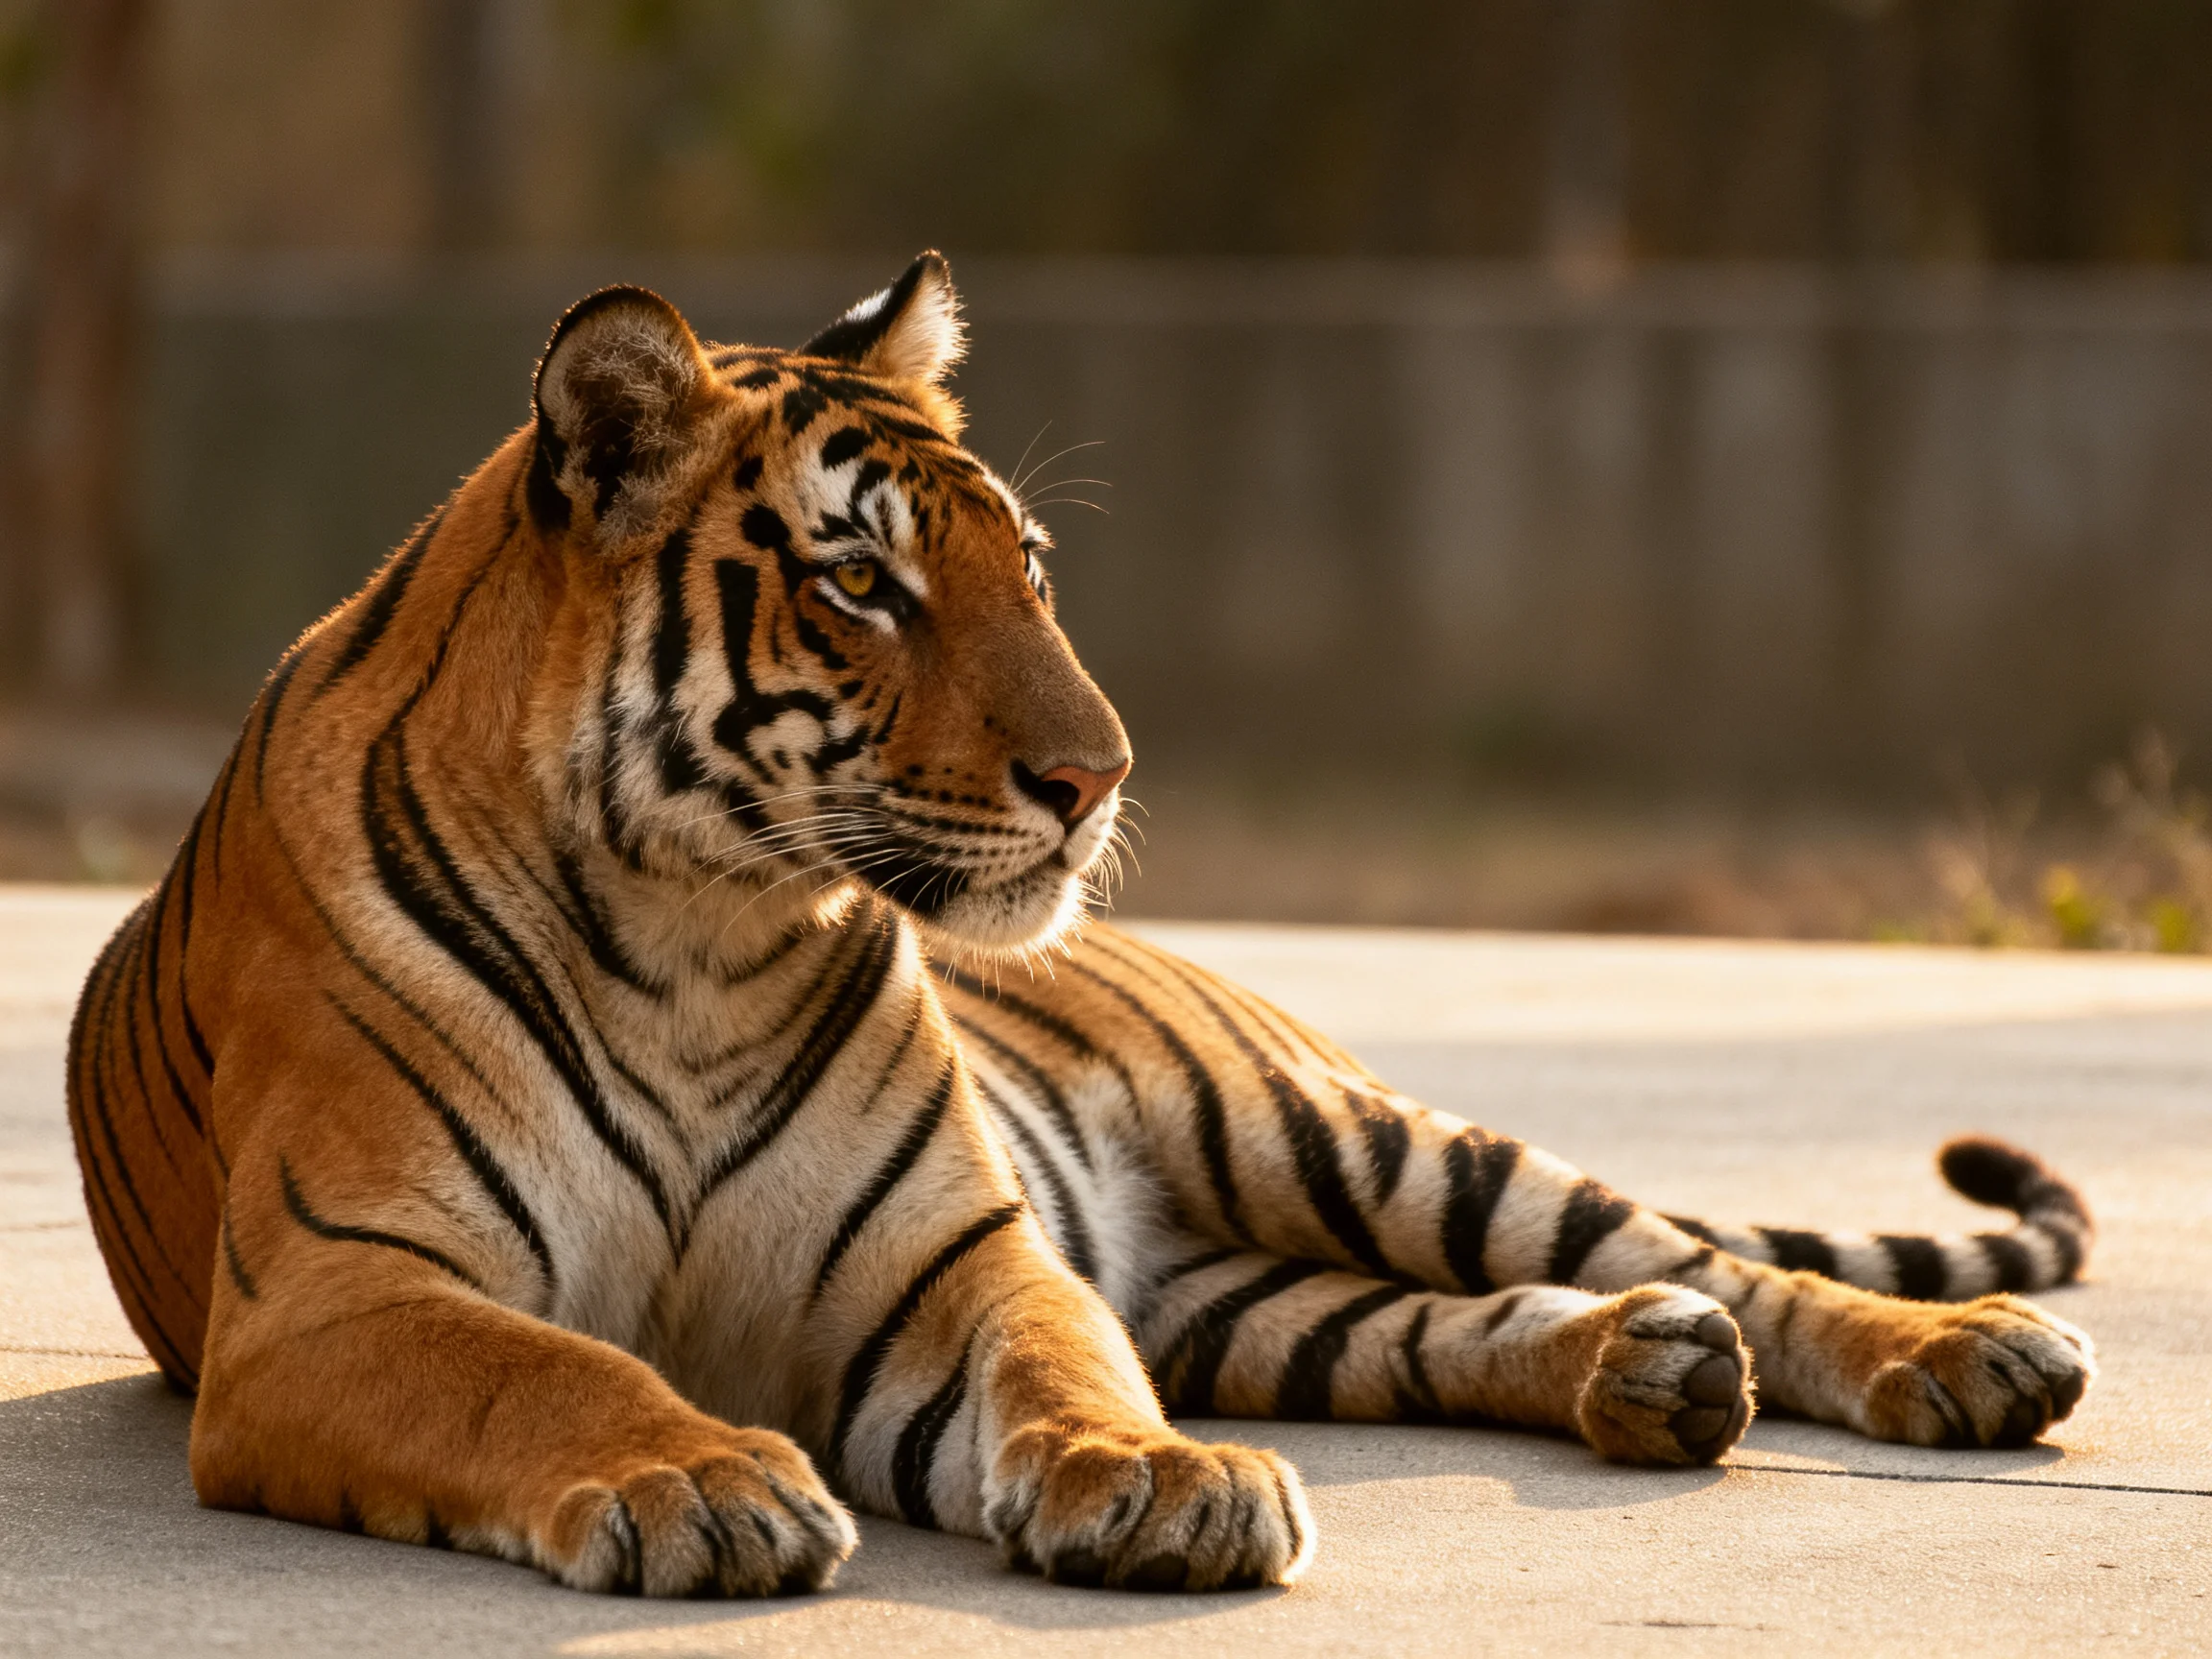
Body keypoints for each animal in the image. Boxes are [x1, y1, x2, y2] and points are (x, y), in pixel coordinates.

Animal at [68, 251, 2096, 1598]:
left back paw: (1956, 1356)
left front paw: (1151, 1478)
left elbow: (1053, 1354)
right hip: (1254, 1300)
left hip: (1339, 1137)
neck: (690, 933)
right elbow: (537, 1360)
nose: (1097, 772)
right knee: (1472, 1313)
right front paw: (704, 1478)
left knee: (1699, 1252)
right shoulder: (333, 1290)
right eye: (860, 584)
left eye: (1023, 568)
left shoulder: (939, 1259)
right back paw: (1647, 1372)